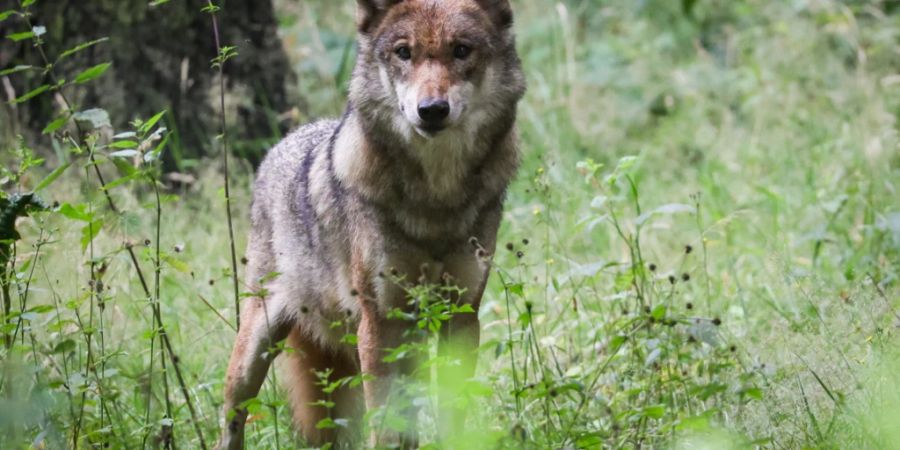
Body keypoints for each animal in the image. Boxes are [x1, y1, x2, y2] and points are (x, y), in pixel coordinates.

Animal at [217, 0, 524, 446]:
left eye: (462, 50)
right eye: (403, 53)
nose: (432, 110)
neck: (436, 200)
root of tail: (282, 143)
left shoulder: (461, 315)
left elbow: (452, 414)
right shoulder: (379, 321)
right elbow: (385, 424)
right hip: (256, 349)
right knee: (232, 415)